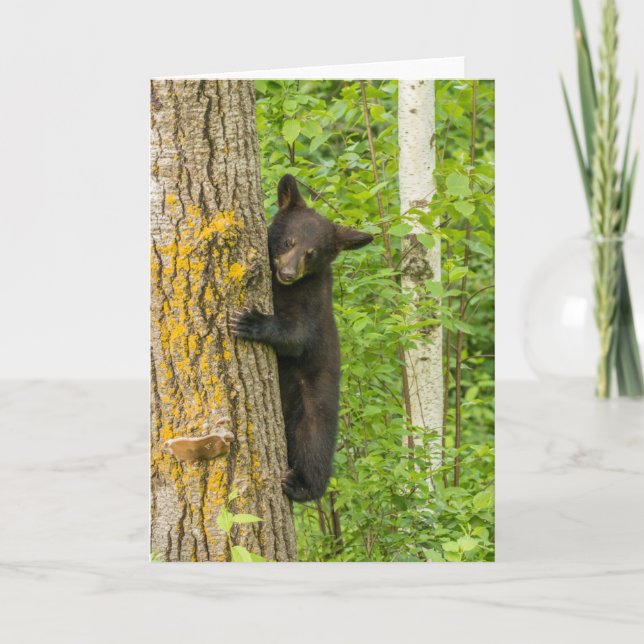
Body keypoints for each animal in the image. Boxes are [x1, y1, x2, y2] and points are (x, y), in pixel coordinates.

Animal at [231, 174, 373, 502]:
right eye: (289, 242)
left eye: (312, 253)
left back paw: (301, 485)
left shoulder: (312, 300)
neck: (283, 288)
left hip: (314, 403)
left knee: (313, 445)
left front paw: (252, 322)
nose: (287, 272)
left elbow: (296, 336)